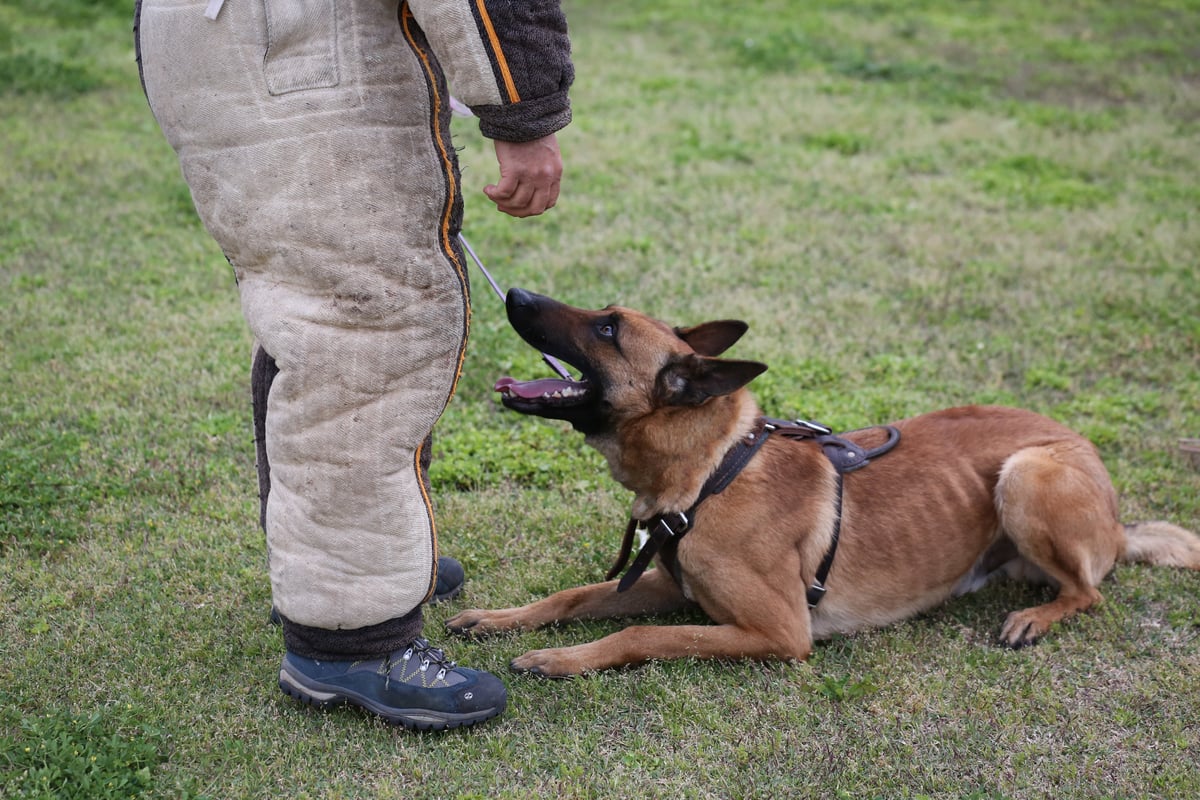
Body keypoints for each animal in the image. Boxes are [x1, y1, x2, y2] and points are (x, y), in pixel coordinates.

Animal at [446, 287, 1200, 676]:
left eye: (606, 329)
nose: (514, 291)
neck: (712, 471)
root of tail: (1115, 517)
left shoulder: (779, 632)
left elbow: (638, 638)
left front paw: (561, 659)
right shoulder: (668, 583)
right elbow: (572, 595)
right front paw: (500, 619)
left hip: (1025, 474)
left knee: (1089, 592)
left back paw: (1036, 618)